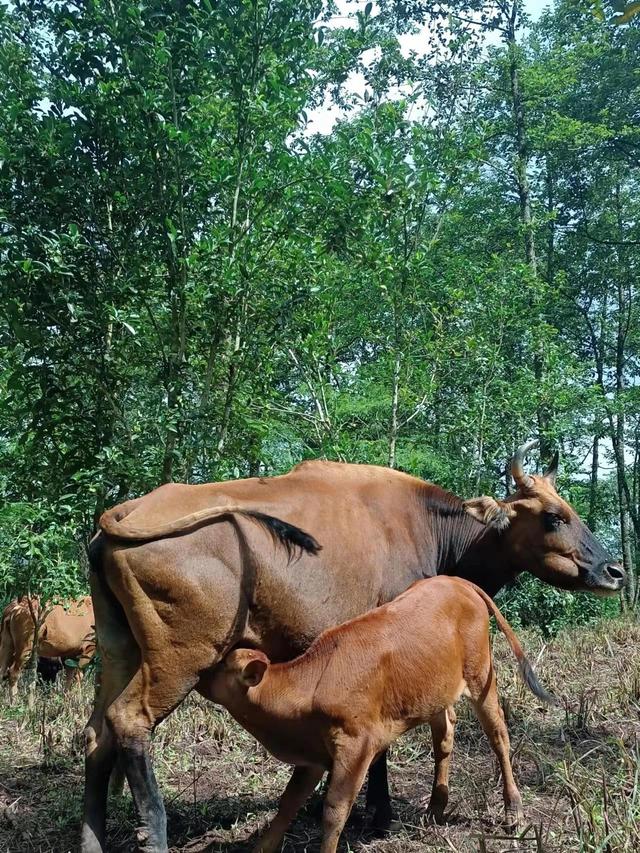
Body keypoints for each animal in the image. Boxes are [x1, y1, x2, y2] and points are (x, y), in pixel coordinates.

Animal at [206, 572, 556, 852]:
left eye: (222, 666)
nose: (201, 673)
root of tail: (455, 580)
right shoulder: (314, 753)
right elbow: (288, 803)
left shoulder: (355, 747)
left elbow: (334, 811)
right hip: (433, 688)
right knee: (444, 734)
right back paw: (435, 807)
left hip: (481, 675)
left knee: (498, 736)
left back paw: (513, 810)